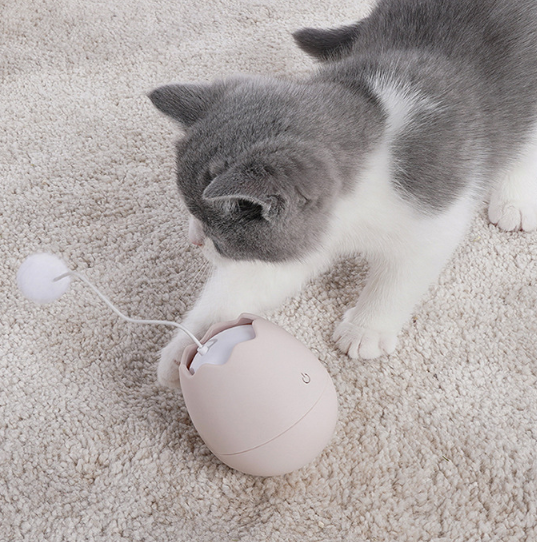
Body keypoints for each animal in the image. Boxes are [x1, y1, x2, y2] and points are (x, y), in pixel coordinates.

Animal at [149, 0, 536, 392]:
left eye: (217, 235)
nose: (194, 239)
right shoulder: (308, 238)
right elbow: (248, 281)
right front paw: (184, 347)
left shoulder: (434, 210)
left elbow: (399, 277)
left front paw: (366, 329)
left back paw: (514, 198)